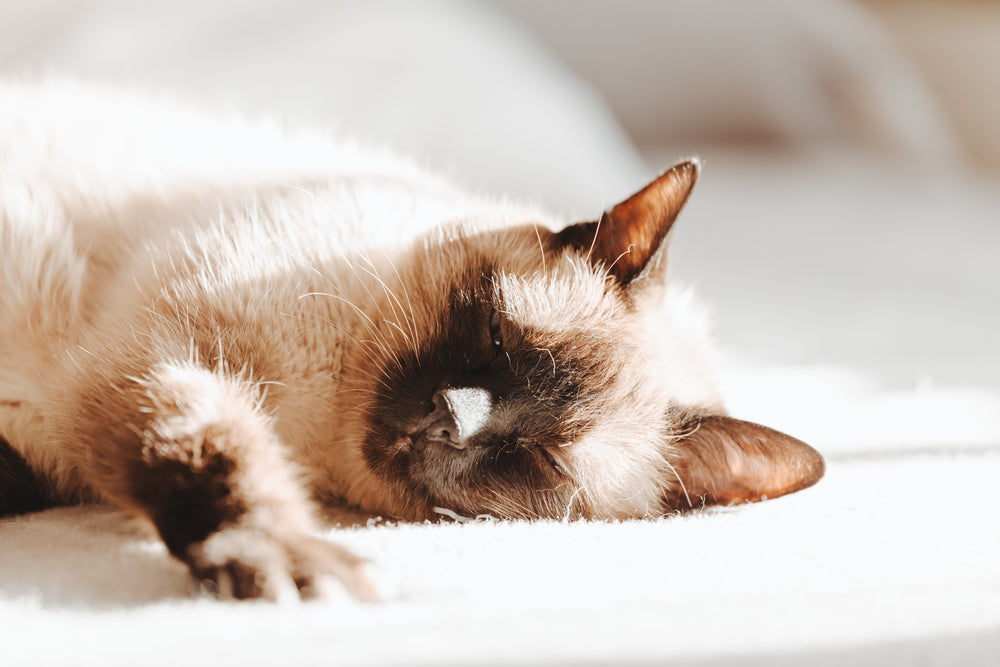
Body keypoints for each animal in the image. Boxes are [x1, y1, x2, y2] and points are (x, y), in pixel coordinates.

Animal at [0, 81, 824, 604]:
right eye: (494, 331)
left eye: (539, 459)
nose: (451, 419)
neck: (313, 427)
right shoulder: (156, 357)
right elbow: (212, 447)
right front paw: (277, 550)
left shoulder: (92, 404)